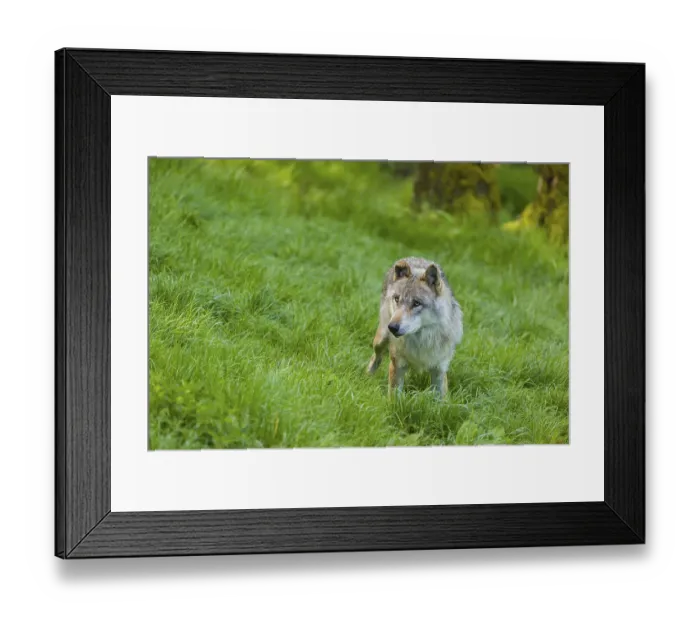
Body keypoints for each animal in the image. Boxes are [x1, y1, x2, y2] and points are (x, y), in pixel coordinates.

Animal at [367, 257, 463, 398]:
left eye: (416, 303)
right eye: (397, 299)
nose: (392, 327)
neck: (422, 340)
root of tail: (413, 257)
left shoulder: (439, 370)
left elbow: (441, 400)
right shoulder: (397, 365)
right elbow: (394, 398)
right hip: (380, 340)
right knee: (376, 356)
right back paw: (367, 375)